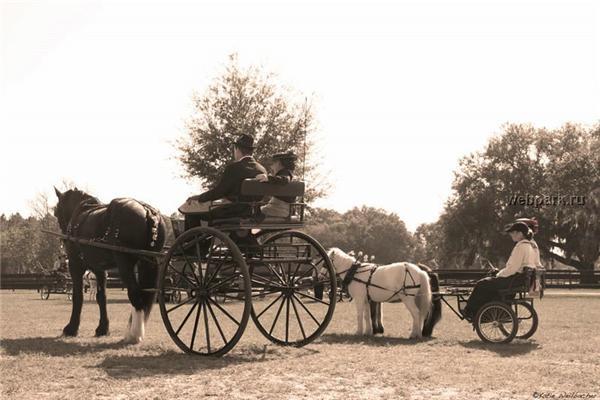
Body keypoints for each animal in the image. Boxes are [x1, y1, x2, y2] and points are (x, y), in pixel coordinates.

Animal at [53, 189, 166, 342]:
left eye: (56, 211)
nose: (63, 239)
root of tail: (148, 211)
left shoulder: (75, 266)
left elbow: (78, 296)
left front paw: (71, 328)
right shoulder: (99, 269)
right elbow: (101, 297)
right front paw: (102, 328)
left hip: (125, 263)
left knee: (135, 294)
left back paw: (134, 335)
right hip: (147, 262)